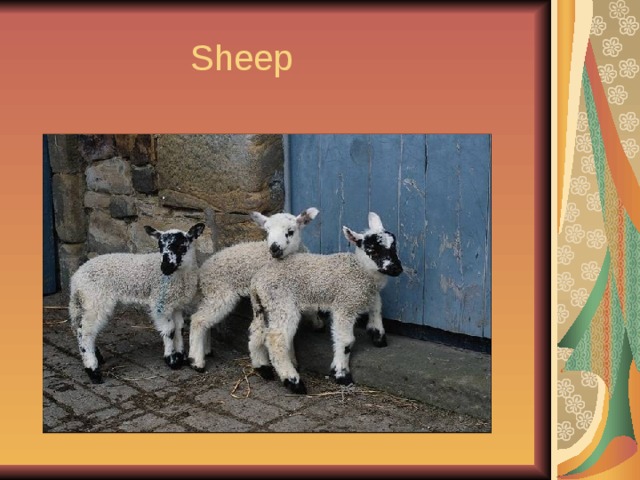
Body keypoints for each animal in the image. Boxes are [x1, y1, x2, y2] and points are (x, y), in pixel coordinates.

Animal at [68, 222, 206, 384]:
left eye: (180, 246)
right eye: (160, 246)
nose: (165, 268)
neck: (180, 276)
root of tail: (75, 280)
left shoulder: (176, 304)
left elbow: (179, 328)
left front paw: (180, 356)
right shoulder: (160, 303)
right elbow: (169, 330)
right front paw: (172, 360)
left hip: (85, 303)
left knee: (78, 327)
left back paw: (97, 357)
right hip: (96, 300)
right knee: (85, 332)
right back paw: (93, 371)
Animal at [188, 208, 320, 372]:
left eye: (290, 231)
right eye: (267, 232)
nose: (274, 248)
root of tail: (203, 272)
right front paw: (317, 324)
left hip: (212, 293)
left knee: (203, 318)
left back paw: (206, 350)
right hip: (220, 292)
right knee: (198, 319)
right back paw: (197, 361)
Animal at [248, 212, 403, 394]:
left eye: (394, 247)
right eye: (372, 249)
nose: (396, 269)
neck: (361, 271)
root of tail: (257, 281)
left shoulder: (363, 294)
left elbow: (377, 305)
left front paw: (377, 333)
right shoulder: (345, 304)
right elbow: (346, 340)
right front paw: (341, 373)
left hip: (264, 306)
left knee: (256, 332)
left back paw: (262, 367)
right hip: (282, 303)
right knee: (275, 340)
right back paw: (293, 381)